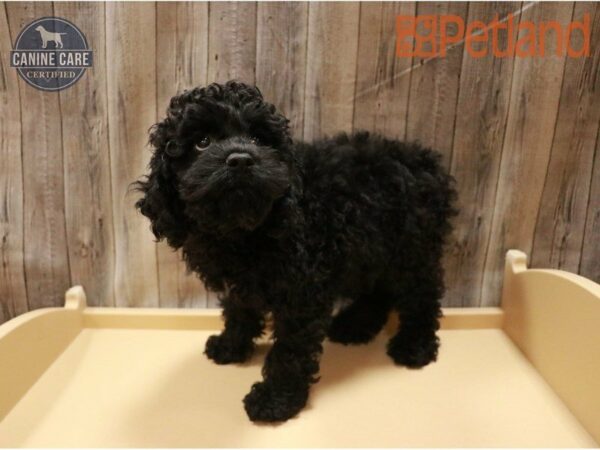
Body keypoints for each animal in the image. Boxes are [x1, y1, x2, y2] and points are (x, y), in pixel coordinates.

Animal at [135, 81, 454, 422]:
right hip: (371, 248)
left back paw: (414, 346)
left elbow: (290, 352)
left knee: (422, 294)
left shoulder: (302, 295)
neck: (245, 231)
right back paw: (355, 326)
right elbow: (238, 310)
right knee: (378, 290)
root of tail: (424, 159)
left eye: (259, 139)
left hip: (411, 250)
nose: (241, 160)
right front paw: (230, 346)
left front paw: (275, 401)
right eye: (202, 142)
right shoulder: (243, 282)